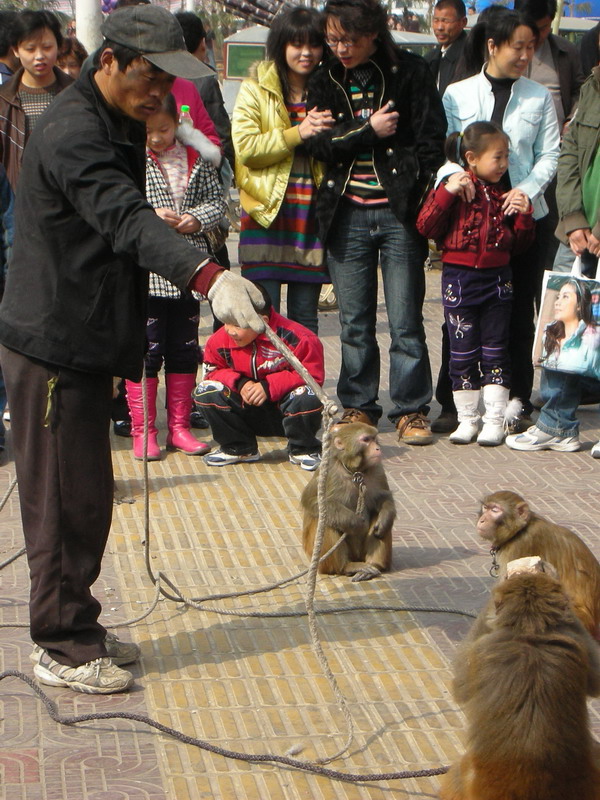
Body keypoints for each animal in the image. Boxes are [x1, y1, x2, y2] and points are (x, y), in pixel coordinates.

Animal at [302, 418, 396, 580]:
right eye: (366, 440)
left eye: (374, 439)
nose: (377, 448)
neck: (354, 471)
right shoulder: (330, 472)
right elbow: (313, 502)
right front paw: (355, 522)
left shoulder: (377, 469)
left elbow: (383, 497)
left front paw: (386, 516)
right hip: (321, 560)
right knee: (326, 520)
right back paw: (345, 567)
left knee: (378, 519)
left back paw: (374, 564)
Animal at [438, 568, 600, 800]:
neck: (530, 630)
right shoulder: (574, 642)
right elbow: (596, 680)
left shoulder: (482, 647)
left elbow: (461, 687)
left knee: (457, 773)